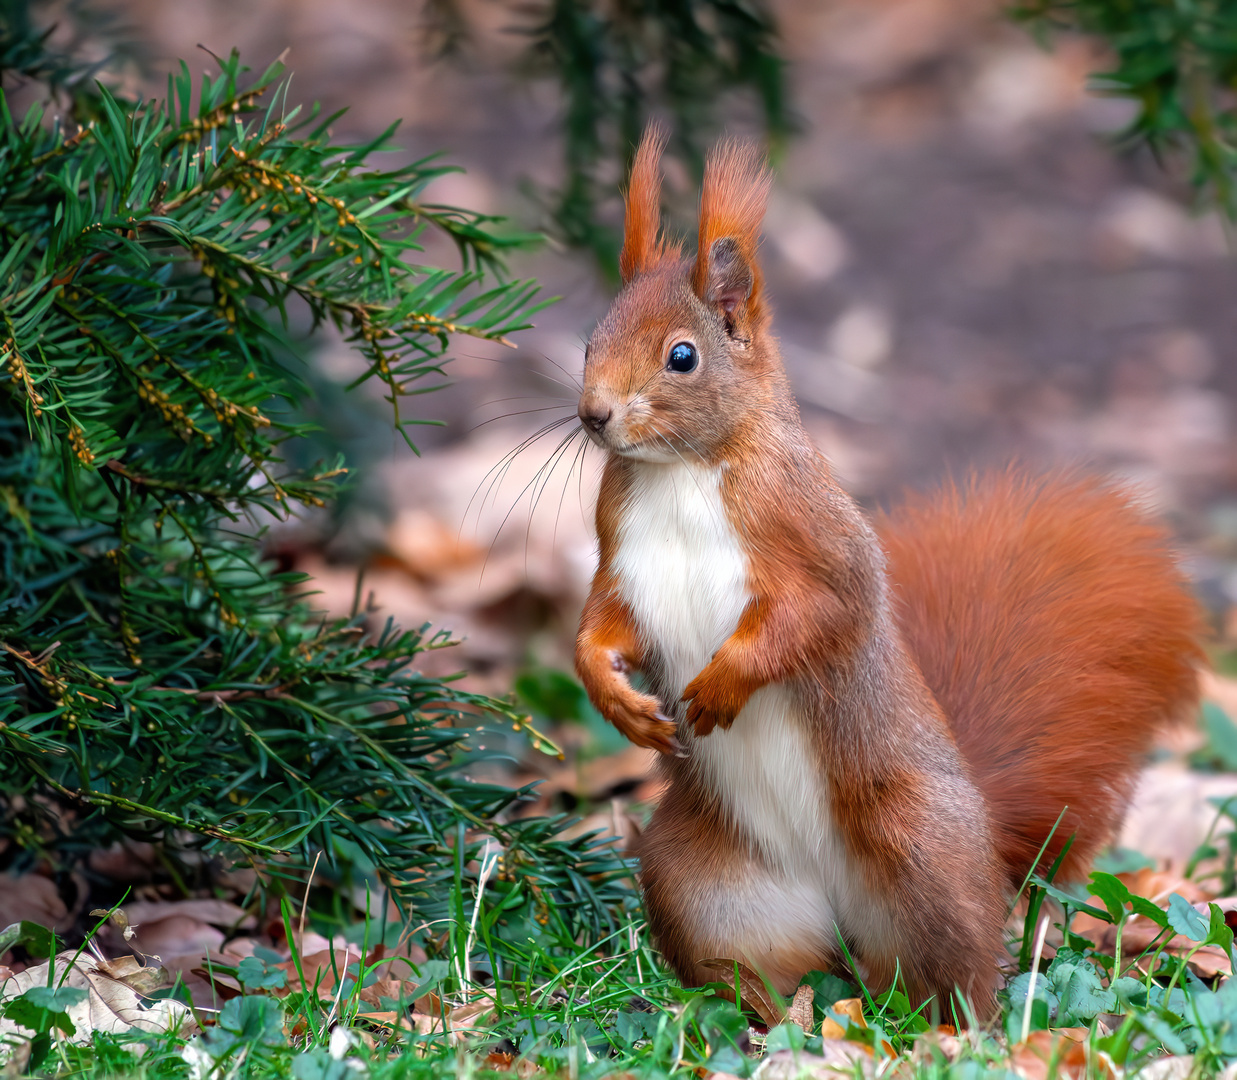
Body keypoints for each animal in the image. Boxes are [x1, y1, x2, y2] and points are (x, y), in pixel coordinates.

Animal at [571, 130, 1207, 1014]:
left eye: (682, 357)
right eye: (587, 338)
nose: (593, 413)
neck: (680, 472)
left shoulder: (819, 540)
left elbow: (823, 613)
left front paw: (724, 683)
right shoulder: (618, 555)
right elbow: (600, 627)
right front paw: (618, 699)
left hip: (918, 847)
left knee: (959, 973)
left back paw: (950, 1022)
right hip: (701, 878)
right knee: (772, 971)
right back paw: (763, 1016)